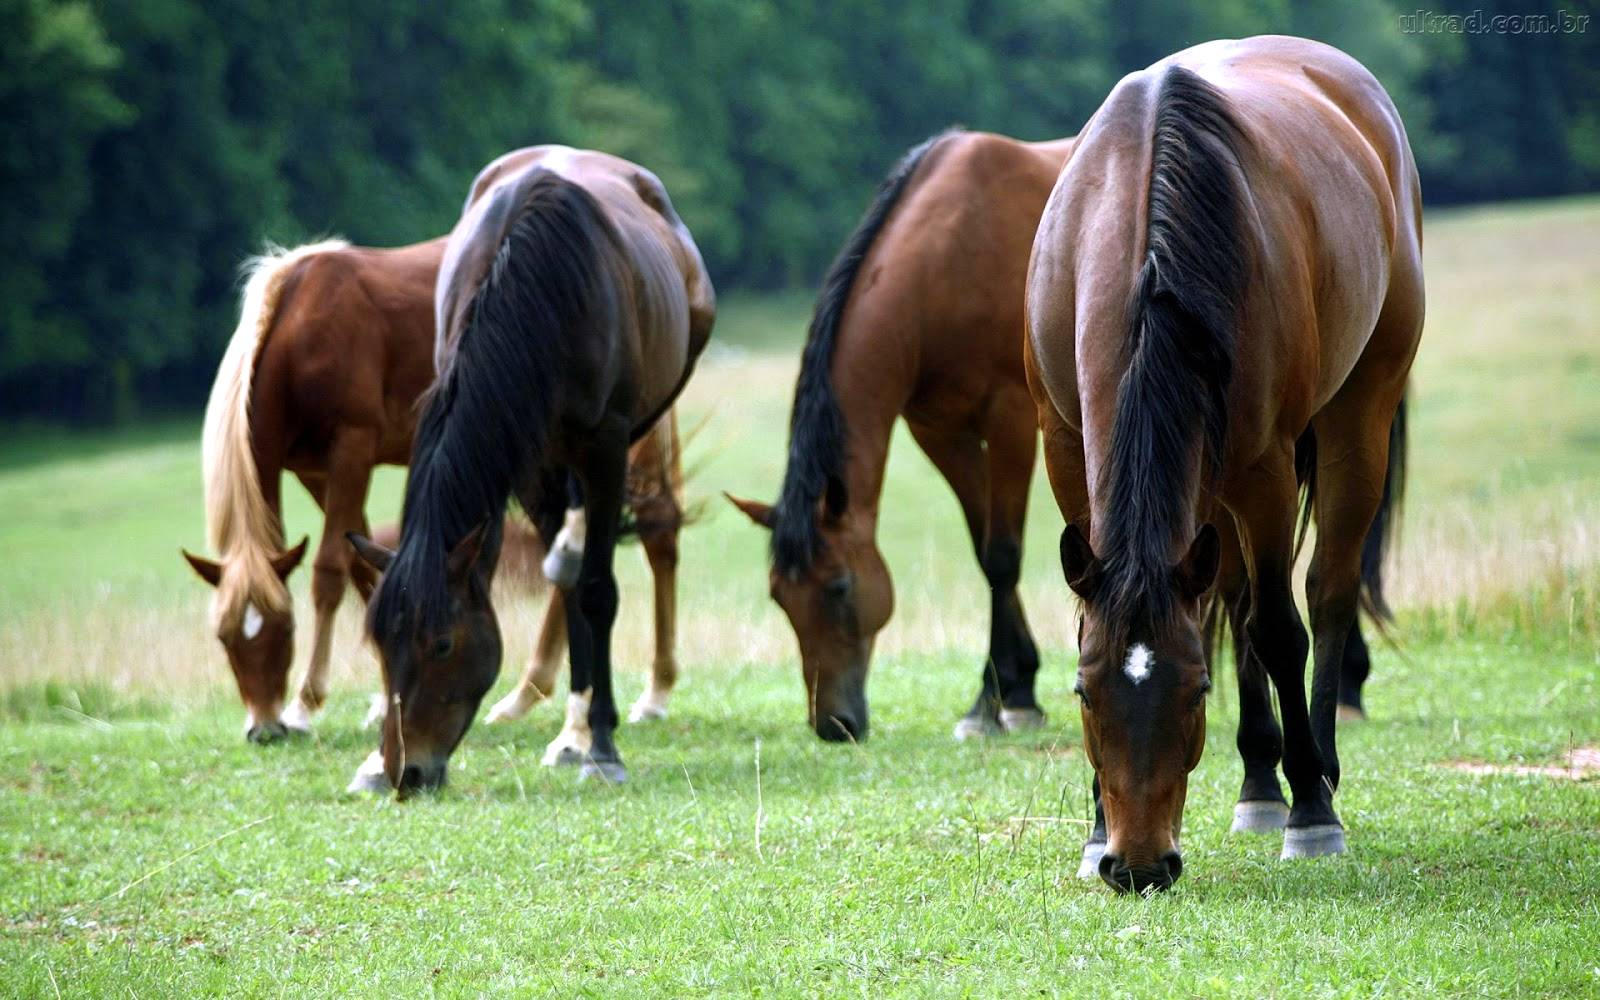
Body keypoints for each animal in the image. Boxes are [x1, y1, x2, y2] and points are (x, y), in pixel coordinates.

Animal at [353, 144, 716, 790]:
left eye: (442, 645)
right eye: (378, 643)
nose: (406, 771)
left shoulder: (605, 447)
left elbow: (596, 590)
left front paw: (601, 747)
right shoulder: (525, 458)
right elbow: (570, 589)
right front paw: (578, 733)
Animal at [732, 128, 1081, 742]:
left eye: (840, 587)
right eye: (779, 596)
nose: (834, 724)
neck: (949, 259)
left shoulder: (1012, 419)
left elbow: (1002, 555)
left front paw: (992, 704)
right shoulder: (940, 432)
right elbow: (982, 549)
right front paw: (1016, 687)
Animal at [1024, 33, 1427, 889]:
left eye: (1194, 690)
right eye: (1083, 691)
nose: (1138, 866)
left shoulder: (1266, 470)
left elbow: (1279, 628)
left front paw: (1312, 812)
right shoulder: (1066, 449)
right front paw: (1095, 827)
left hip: (1357, 415)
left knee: (1326, 591)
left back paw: (1314, 774)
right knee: (1236, 596)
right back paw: (1258, 783)